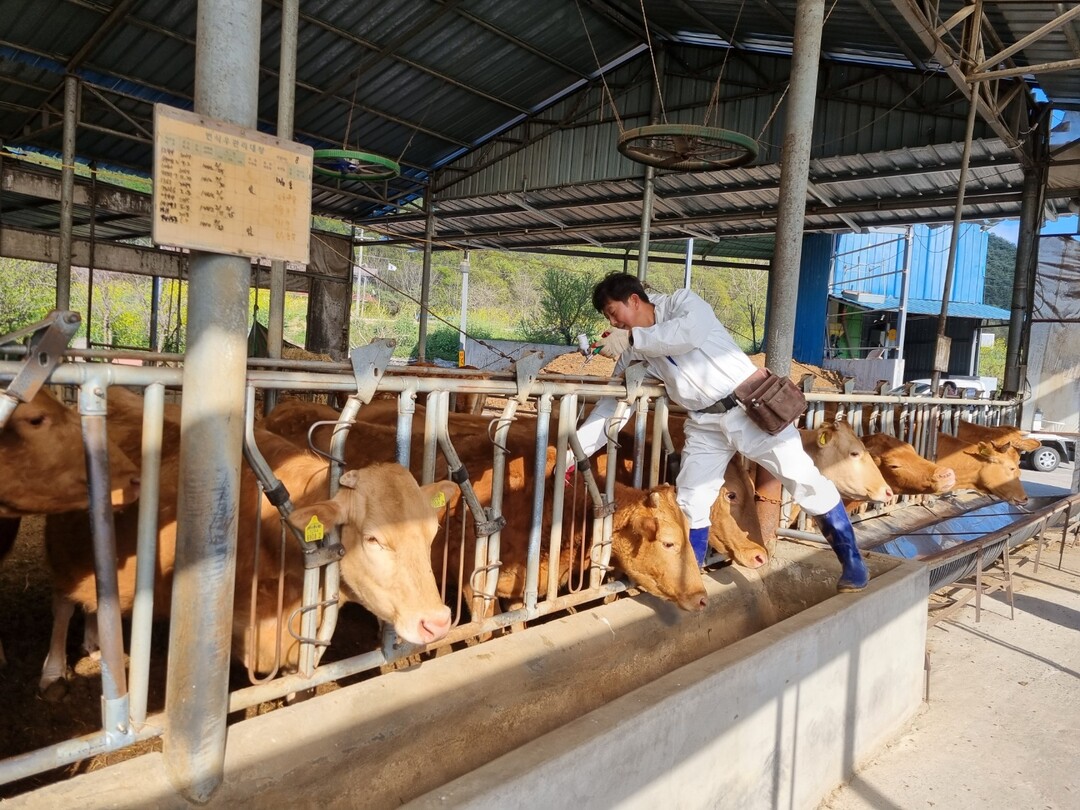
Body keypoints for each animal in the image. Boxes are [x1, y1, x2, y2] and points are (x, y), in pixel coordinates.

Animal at [40, 388, 457, 691]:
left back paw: (96, 646)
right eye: (373, 539)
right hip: (61, 547)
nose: (436, 622)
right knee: (62, 602)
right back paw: (54, 671)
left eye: (432, 533)